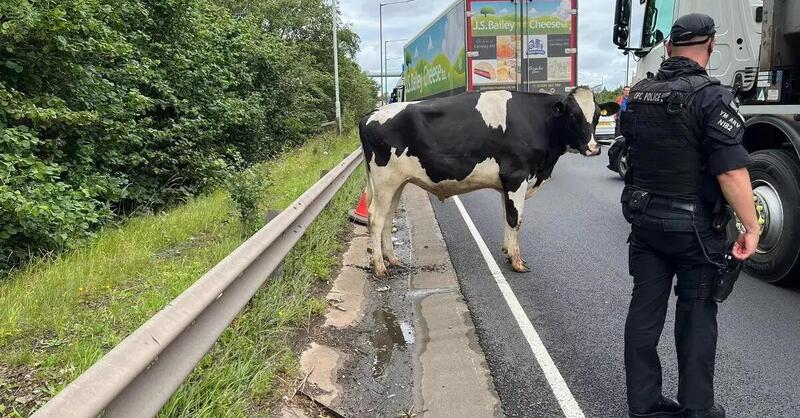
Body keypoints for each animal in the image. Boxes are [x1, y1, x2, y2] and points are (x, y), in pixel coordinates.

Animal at [360, 88, 620, 278]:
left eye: (597, 116)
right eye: (574, 116)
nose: (594, 148)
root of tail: (370, 114)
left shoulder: (507, 183)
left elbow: (506, 215)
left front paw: (507, 252)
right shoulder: (516, 176)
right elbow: (516, 218)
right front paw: (517, 262)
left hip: (397, 183)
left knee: (388, 218)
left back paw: (392, 259)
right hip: (385, 181)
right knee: (375, 218)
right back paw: (379, 268)